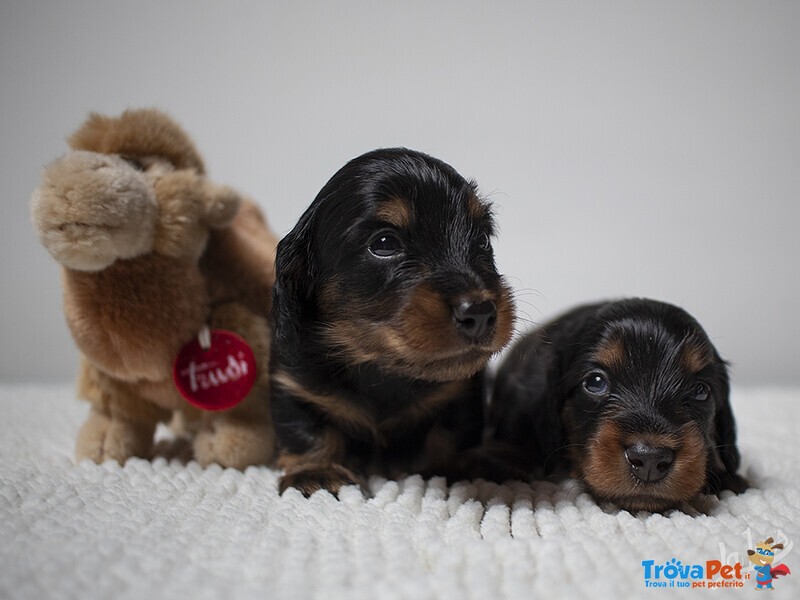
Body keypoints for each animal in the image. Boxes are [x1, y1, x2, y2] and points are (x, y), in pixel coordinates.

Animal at [272, 148, 516, 494]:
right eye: (385, 243)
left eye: (482, 238)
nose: (480, 312)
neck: (381, 369)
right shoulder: (293, 384)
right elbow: (305, 429)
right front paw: (315, 470)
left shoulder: (461, 392)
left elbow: (452, 431)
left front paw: (462, 464)